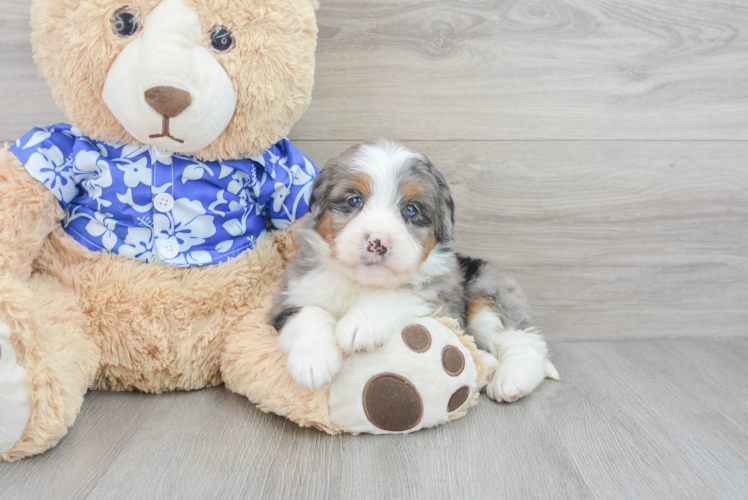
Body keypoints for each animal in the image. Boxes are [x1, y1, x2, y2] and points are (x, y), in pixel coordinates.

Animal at [268, 141, 556, 402]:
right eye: (354, 200)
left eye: (411, 209)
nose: (378, 242)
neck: (363, 284)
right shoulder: (289, 295)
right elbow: (308, 312)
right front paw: (313, 362)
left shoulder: (440, 301)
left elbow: (402, 294)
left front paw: (360, 325)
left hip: (486, 291)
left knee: (524, 339)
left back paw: (511, 381)